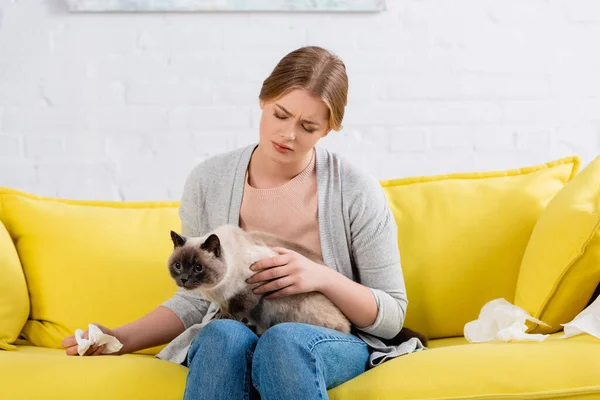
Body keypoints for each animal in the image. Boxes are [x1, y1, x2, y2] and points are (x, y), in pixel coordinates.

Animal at [168, 223, 426, 346]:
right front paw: (221, 315)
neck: (214, 290)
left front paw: (226, 318)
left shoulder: (251, 286)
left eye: (198, 268)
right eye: (178, 266)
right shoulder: (224, 297)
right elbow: (226, 308)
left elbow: (237, 308)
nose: (184, 279)